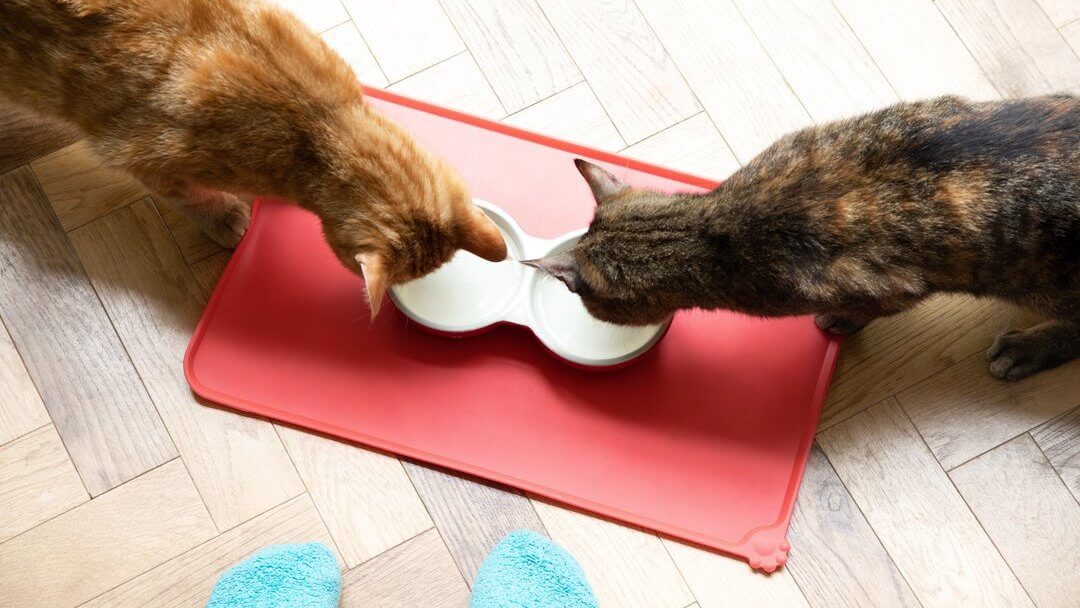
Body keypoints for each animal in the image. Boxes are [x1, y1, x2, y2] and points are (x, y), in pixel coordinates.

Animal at [531, 95, 1080, 380]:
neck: (715, 225)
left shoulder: (895, 288)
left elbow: (864, 309)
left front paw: (841, 320)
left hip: (1043, 280)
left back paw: (1026, 349)